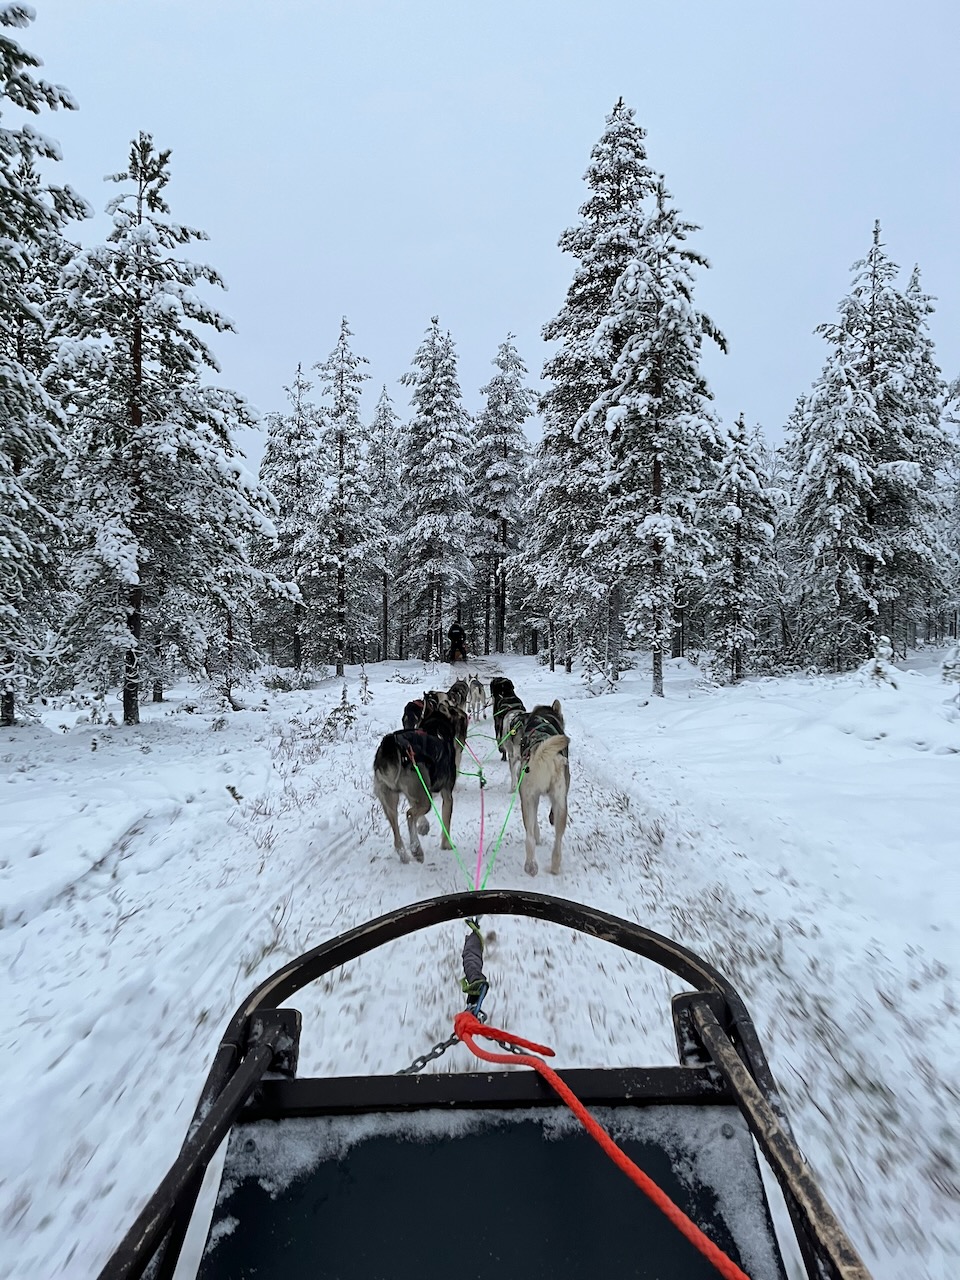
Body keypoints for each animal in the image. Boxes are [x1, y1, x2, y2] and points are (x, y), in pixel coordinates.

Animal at [373, 706, 460, 865]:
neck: (435, 725)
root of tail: (391, 746)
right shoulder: (446, 795)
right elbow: (446, 823)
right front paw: (447, 845)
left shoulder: (417, 793)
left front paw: (424, 826)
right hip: (424, 799)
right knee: (409, 815)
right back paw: (416, 849)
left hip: (390, 800)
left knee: (397, 834)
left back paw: (404, 855)